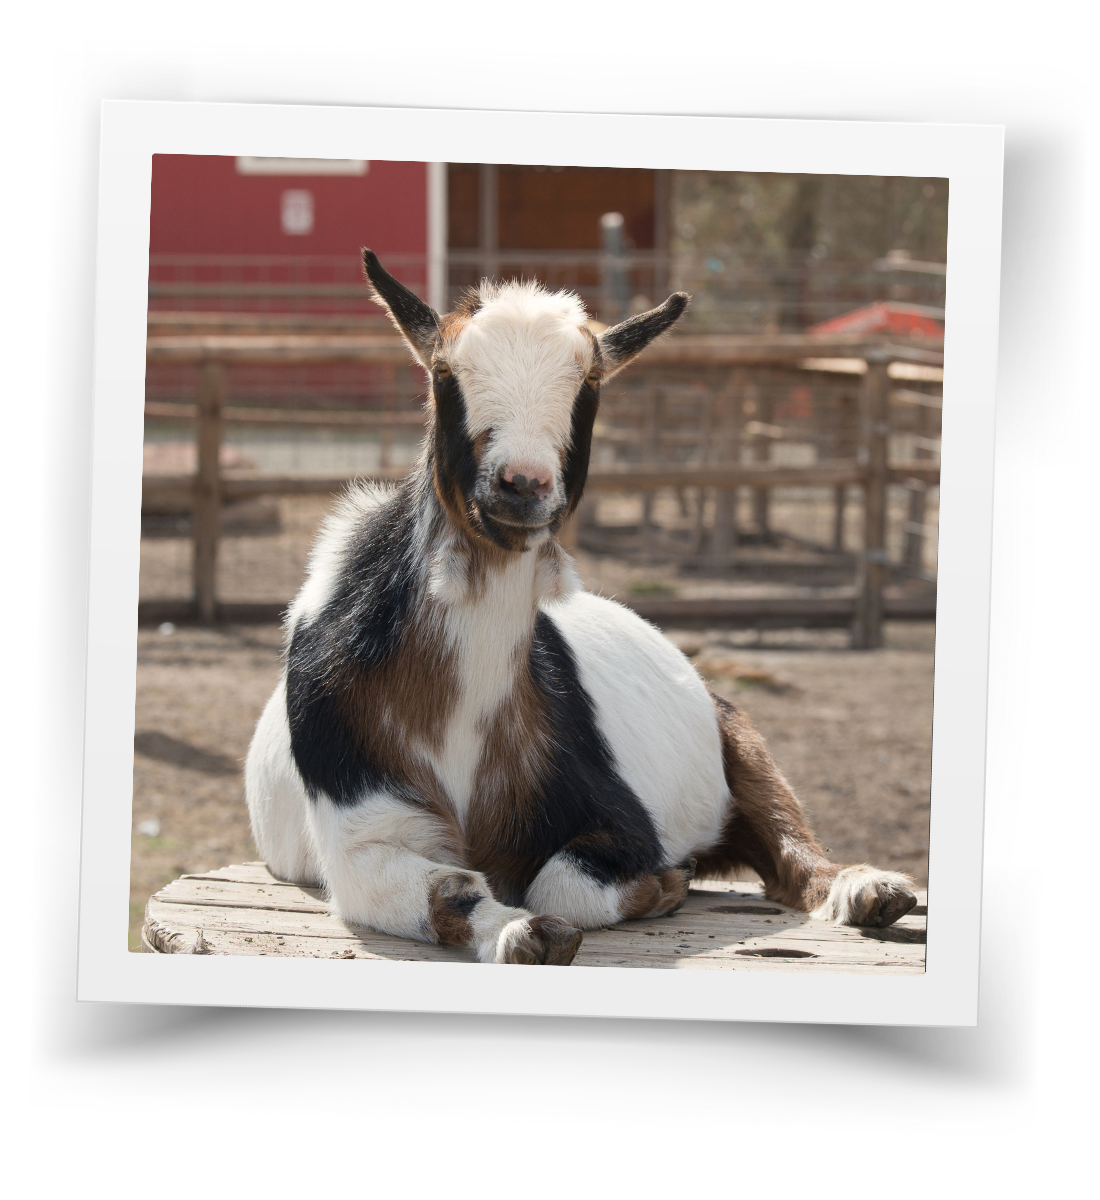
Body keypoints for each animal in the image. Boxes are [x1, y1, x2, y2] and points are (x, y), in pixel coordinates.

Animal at [244, 250, 917, 966]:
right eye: (444, 373)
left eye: (590, 381)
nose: (523, 483)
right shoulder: (358, 829)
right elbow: (449, 888)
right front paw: (521, 932)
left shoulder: (617, 817)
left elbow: (561, 881)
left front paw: (665, 884)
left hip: (735, 732)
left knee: (788, 838)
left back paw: (868, 890)